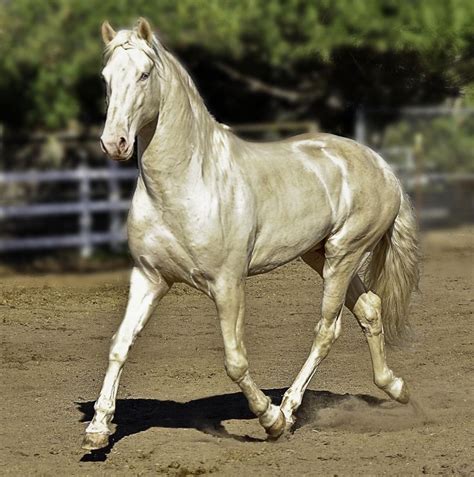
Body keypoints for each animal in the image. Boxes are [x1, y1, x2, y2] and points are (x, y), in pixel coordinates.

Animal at [81, 18, 418, 450]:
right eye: (106, 78)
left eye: (144, 74)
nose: (114, 143)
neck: (186, 184)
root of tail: (381, 165)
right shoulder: (149, 278)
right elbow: (120, 345)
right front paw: (97, 430)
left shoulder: (227, 283)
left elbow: (235, 360)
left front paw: (270, 419)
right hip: (318, 253)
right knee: (370, 309)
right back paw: (395, 387)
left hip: (343, 255)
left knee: (328, 329)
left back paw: (289, 408)